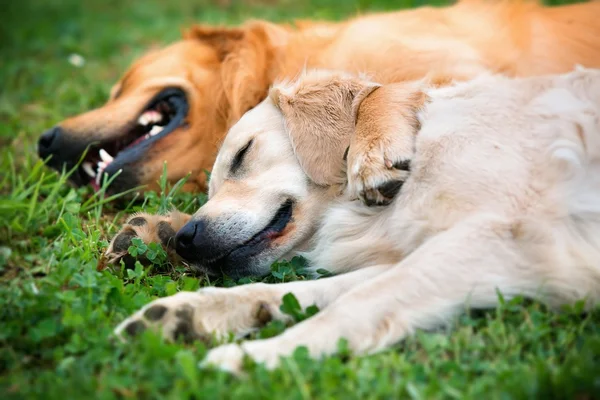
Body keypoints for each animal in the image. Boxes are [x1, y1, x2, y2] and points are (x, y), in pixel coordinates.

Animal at [112, 67, 600, 374]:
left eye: (242, 154)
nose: (185, 238)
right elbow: (299, 292)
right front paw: (189, 314)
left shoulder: (496, 237)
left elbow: (356, 304)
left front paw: (260, 358)